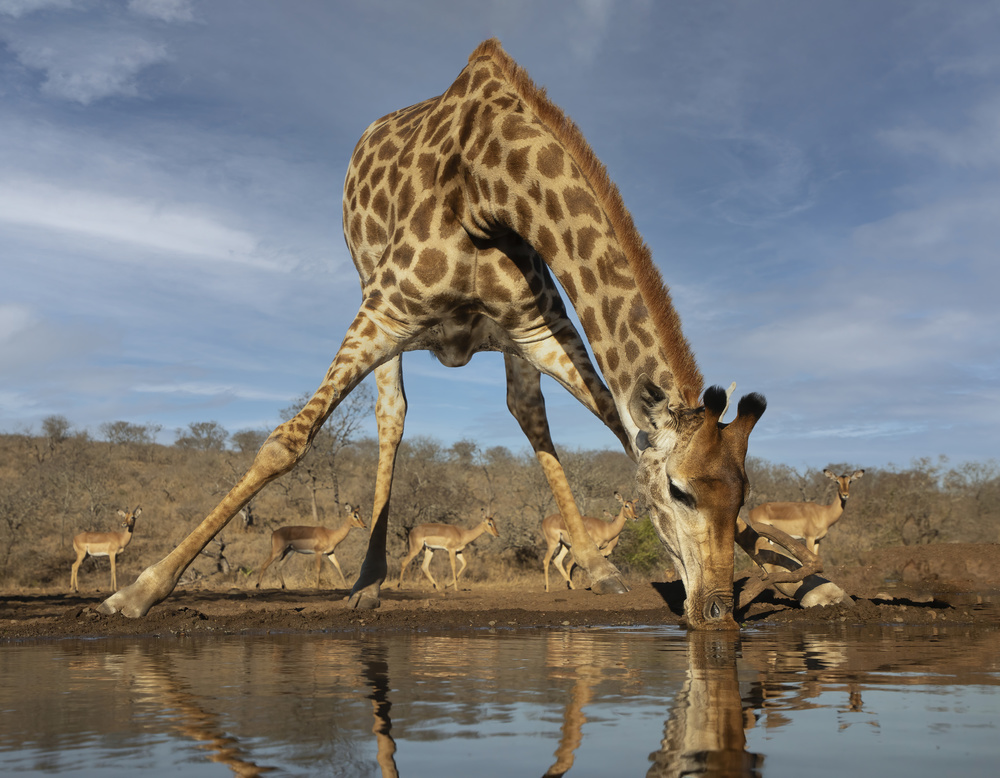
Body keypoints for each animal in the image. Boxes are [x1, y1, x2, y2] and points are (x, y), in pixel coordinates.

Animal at [99, 39, 764, 628]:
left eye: (743, 495)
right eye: (679, 492)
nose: (716, 612)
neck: (492, 186)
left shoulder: (540, 328)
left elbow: (615, 423)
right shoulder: (386, 310)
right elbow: (287, 442)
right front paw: (138, 592)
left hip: (508, 343)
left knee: (527, 412)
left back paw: (596, 567)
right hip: (372, 296)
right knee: (391, 417)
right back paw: (366, 584)